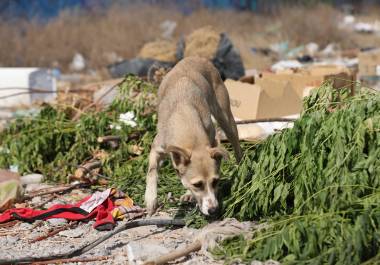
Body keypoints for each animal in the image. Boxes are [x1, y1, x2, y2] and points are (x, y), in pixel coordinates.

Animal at [144, 55, 242, 214]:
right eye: (197, 184)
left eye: (215, 181)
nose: (213, 210)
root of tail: (197, 57)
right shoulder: (157, 147)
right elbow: (152, 171)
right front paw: (151, 200)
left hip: (225, 117)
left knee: (237, 145)